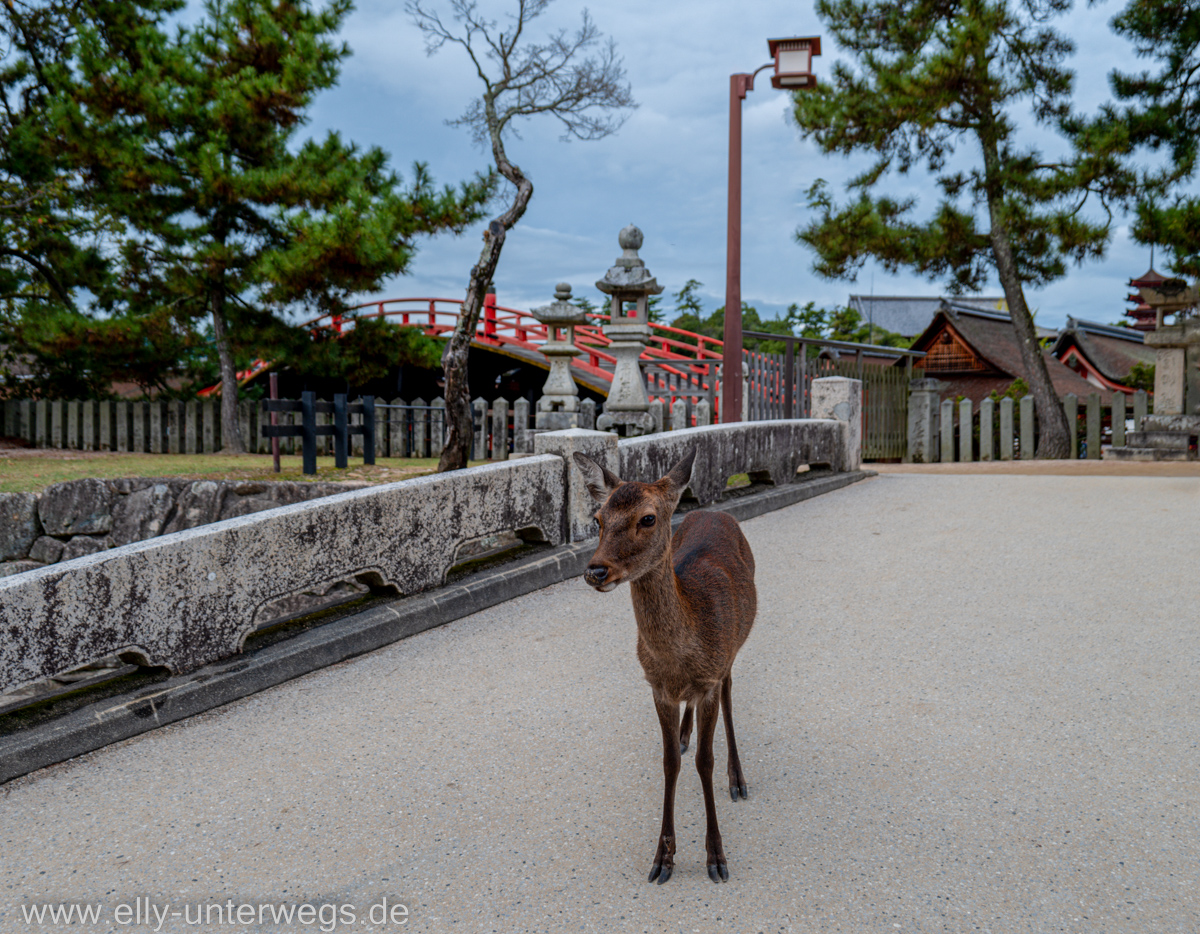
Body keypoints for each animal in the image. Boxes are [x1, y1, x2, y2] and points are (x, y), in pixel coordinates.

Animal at [573, 446, 758, 883]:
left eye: (648, 518)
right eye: (598, 519)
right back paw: (687, 733)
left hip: (733, 650)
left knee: (730, 694)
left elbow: (704, 762)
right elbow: (670, 761)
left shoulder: (710, 676)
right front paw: (663, 857)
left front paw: (716, 857)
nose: (595, 570)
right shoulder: (656, 687)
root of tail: (713, 512)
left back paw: (737, 779)